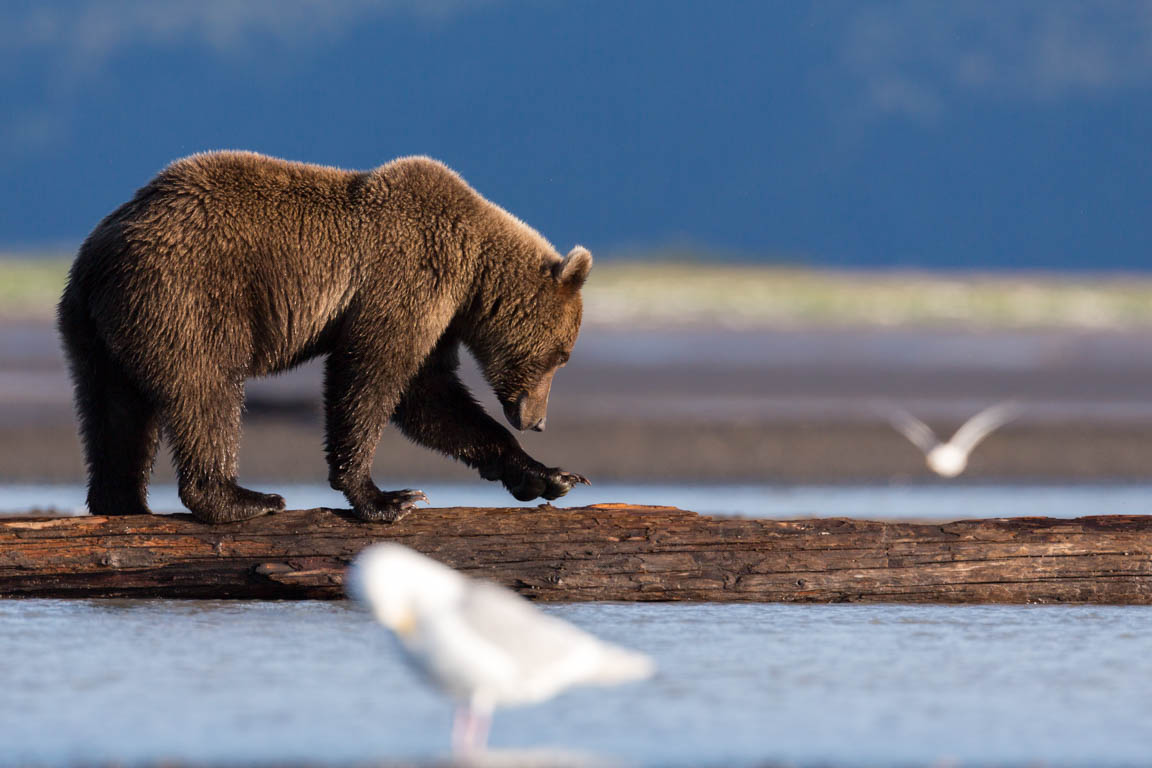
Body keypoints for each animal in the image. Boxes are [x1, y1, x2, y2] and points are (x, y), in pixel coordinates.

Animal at [57, 151, 589, 522]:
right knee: (206, 392)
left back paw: (123, 502)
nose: (537, 420)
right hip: (186, 297)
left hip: (95, 327)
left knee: (113, 411)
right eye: (561, 355)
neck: (472, 274)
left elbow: (430, 397)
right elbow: (371, 378)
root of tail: (98, 252)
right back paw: (244, 498)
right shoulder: (407, 280)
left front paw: (551, 476)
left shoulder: (437, 319)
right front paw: (388, 498)